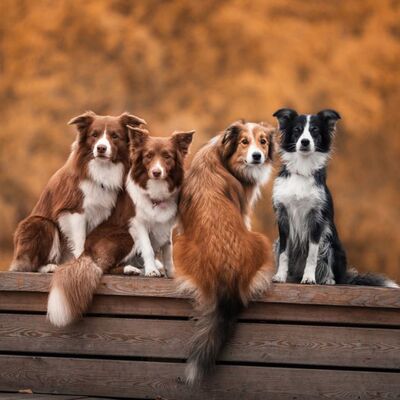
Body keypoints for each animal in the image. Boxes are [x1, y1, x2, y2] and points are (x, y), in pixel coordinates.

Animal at [9, 111, 145, 274]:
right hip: (40, 223)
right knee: (31, 264)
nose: (101, 148)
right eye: (94, 135)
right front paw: (81, 264)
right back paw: (49, 266)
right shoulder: (74, 210)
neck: (100, 169)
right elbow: (80, 240)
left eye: (114, 136)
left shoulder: (101, 212)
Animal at [46, 126, 194, 326]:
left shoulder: (166, 226)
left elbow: (168, 252)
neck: (155, 192)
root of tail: (86, 251)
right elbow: (148, 248)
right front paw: (152, 271)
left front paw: (171, 273)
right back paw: (132, 270)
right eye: (148, 156)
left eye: (167, 156)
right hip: (126, 237)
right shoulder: (137, 224)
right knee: (106, 269)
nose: (156, 172)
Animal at [174, 119, 276, 384]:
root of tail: (227, 276)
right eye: (244, 142)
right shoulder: (244, 209)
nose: (257, 156)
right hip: (262, 240)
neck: (222, 155)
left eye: (263, 141)